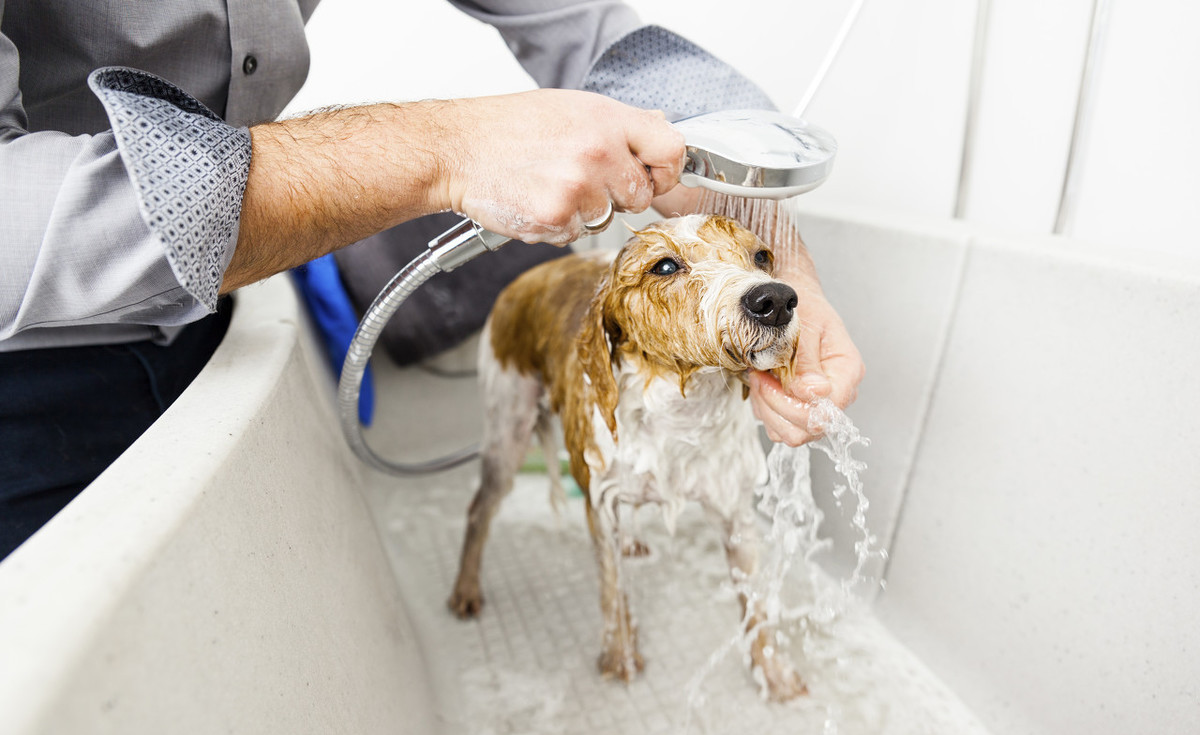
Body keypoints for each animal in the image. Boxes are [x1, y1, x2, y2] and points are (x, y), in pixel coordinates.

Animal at [448, 211, 806, 701]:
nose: (775, 299)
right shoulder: (599, 503)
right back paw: (466, 589)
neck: (680, 415)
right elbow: (612, 590)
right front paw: (620, 658)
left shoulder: (735, 511)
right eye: (665, 266)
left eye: (762, 256)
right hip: (508, 430)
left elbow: (756, 605)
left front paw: (772, 672)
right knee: (479, 508)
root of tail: (531, 273)